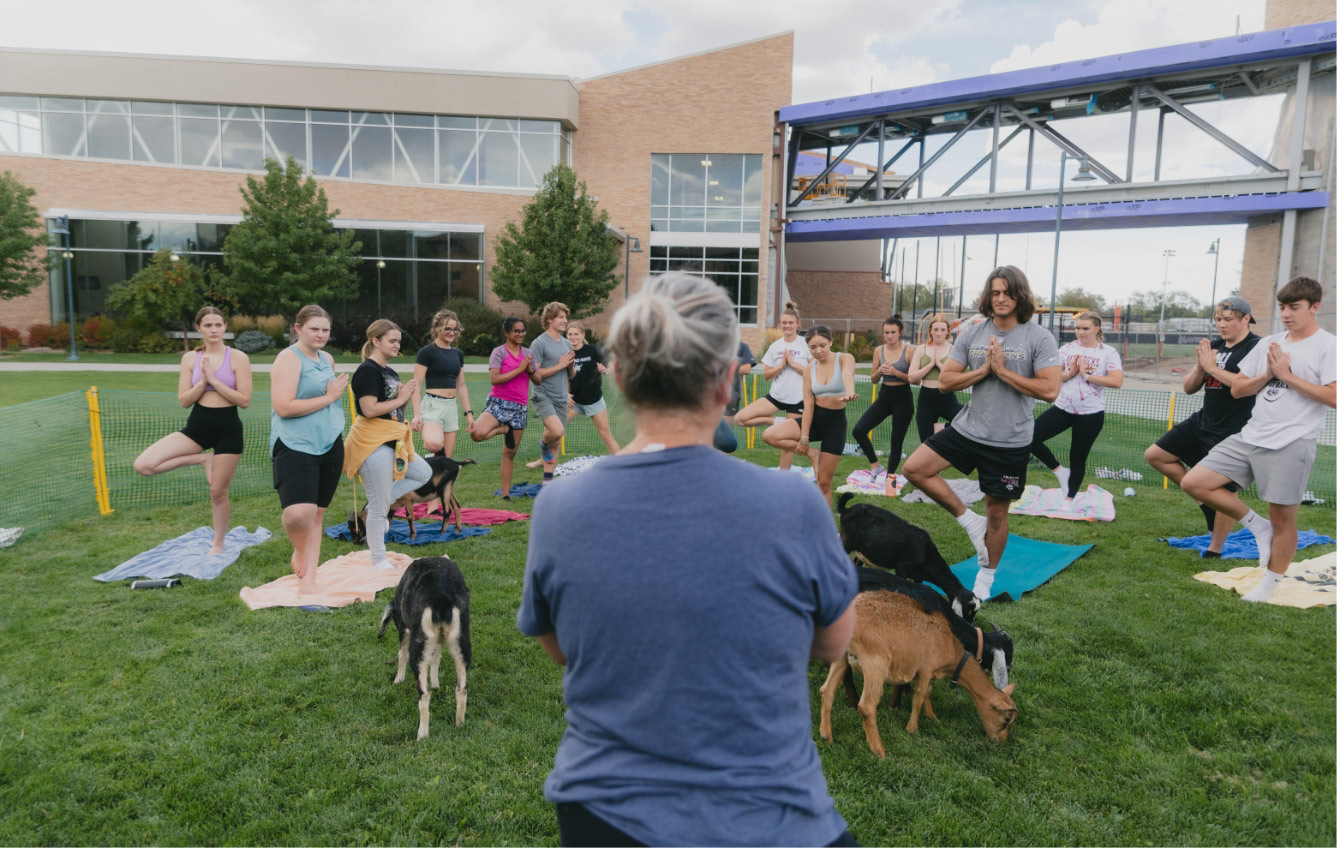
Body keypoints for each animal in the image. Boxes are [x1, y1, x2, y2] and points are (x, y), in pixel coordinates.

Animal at [379, 551, 473, 738]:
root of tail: (441, 599)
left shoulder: (405, 631)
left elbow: (402, 654)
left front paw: (398, 680)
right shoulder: (437, 642)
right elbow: (436, 657)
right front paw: (436, 683)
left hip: (418, 650)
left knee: (424, 694)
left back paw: (422, 734)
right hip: (461, 644)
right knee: (461, 689)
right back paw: (459, 724)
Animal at [812, 588, 1010, 754]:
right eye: (1007, 719)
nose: (1001, 742)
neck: (952, 647)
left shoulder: (927, 673)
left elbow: (927, 692)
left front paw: (932, 717)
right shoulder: (926, 669)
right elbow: (919, 697)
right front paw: (912, 729)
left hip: (842, 657)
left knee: (827, 691)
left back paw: (826, 736)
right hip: (876, 663)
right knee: (867, 706)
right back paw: (879, 752)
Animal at [834, 489, 984, 620]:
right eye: (968, 610)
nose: (969, 624)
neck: (927, 555)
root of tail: (846, 510)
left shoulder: (918, 576)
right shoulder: (902, 569)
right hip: (846, 541)